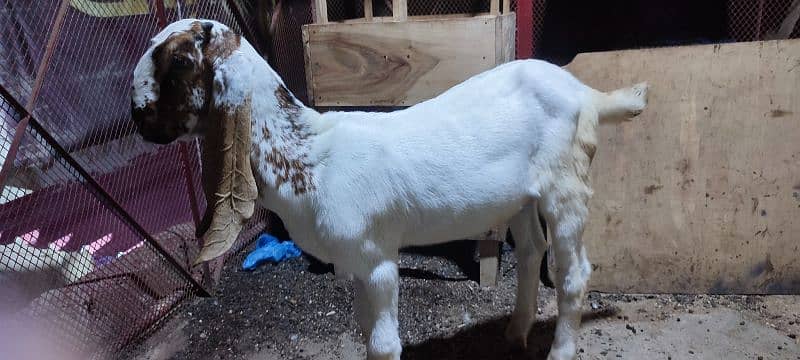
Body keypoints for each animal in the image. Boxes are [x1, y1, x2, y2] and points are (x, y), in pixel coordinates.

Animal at [130, 19, 644, 360]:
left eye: (179, 60)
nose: (138, 118)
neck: (311, 153)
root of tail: (585, 93)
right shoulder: (354, 262)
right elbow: (363, 332)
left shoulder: (376, 258)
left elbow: (381, 345)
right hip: (522, 197)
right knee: (534, 251)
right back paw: (515, 334)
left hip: (567, 187)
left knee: (573, 273)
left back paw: (558, 350)